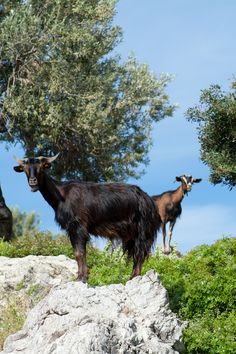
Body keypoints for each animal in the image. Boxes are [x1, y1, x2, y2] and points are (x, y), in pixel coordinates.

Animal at [13, 155, 159, 282]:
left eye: (42, 167)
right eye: (25, 168)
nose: (33, 182)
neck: (61, 195)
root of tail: (148, 199)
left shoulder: (79, 226)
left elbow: (80, 252)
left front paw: (82, 277)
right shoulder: (71, 229)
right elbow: (77, 252)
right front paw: (80, 276)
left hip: (142, 229)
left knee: (140, 252)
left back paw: (134, 277)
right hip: (131, 234)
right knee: (136, 253)